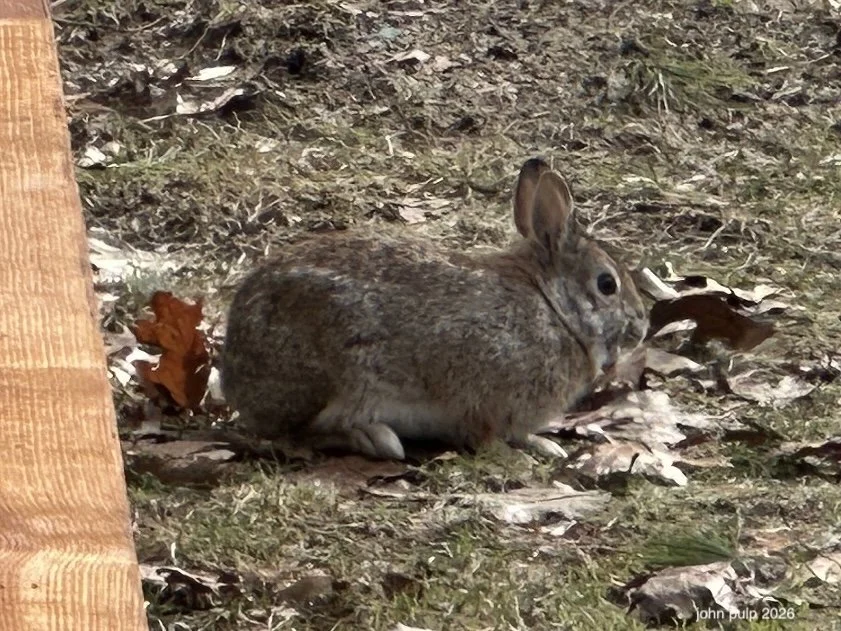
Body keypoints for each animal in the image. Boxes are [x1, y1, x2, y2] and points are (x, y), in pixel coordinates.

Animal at [221, 158, 648, 460]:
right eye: (607, 284)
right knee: (298, 432)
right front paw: (521, 456)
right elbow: (487, 436)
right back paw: (373, 437)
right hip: (328, 376)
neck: (553, 308)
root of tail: (233, 372)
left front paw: (546, 445)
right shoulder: (485, 396)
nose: (641, 326)